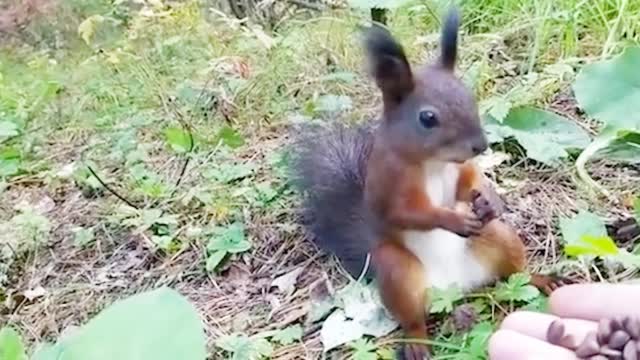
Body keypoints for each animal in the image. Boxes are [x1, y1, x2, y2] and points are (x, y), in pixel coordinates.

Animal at [288, 6, 568, 360]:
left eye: (470, 97)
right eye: (427, 118)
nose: (480, 145)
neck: (434, 162)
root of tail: (455, 288)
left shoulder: (460, 170)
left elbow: (468, 183)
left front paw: (490, 198)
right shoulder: (389, 181)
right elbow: (407, 212)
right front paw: (453, 219)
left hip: (499, 237)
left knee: (516, 273)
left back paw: (542, 278)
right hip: (397, 272)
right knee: (413, 317)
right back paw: (417, 342)